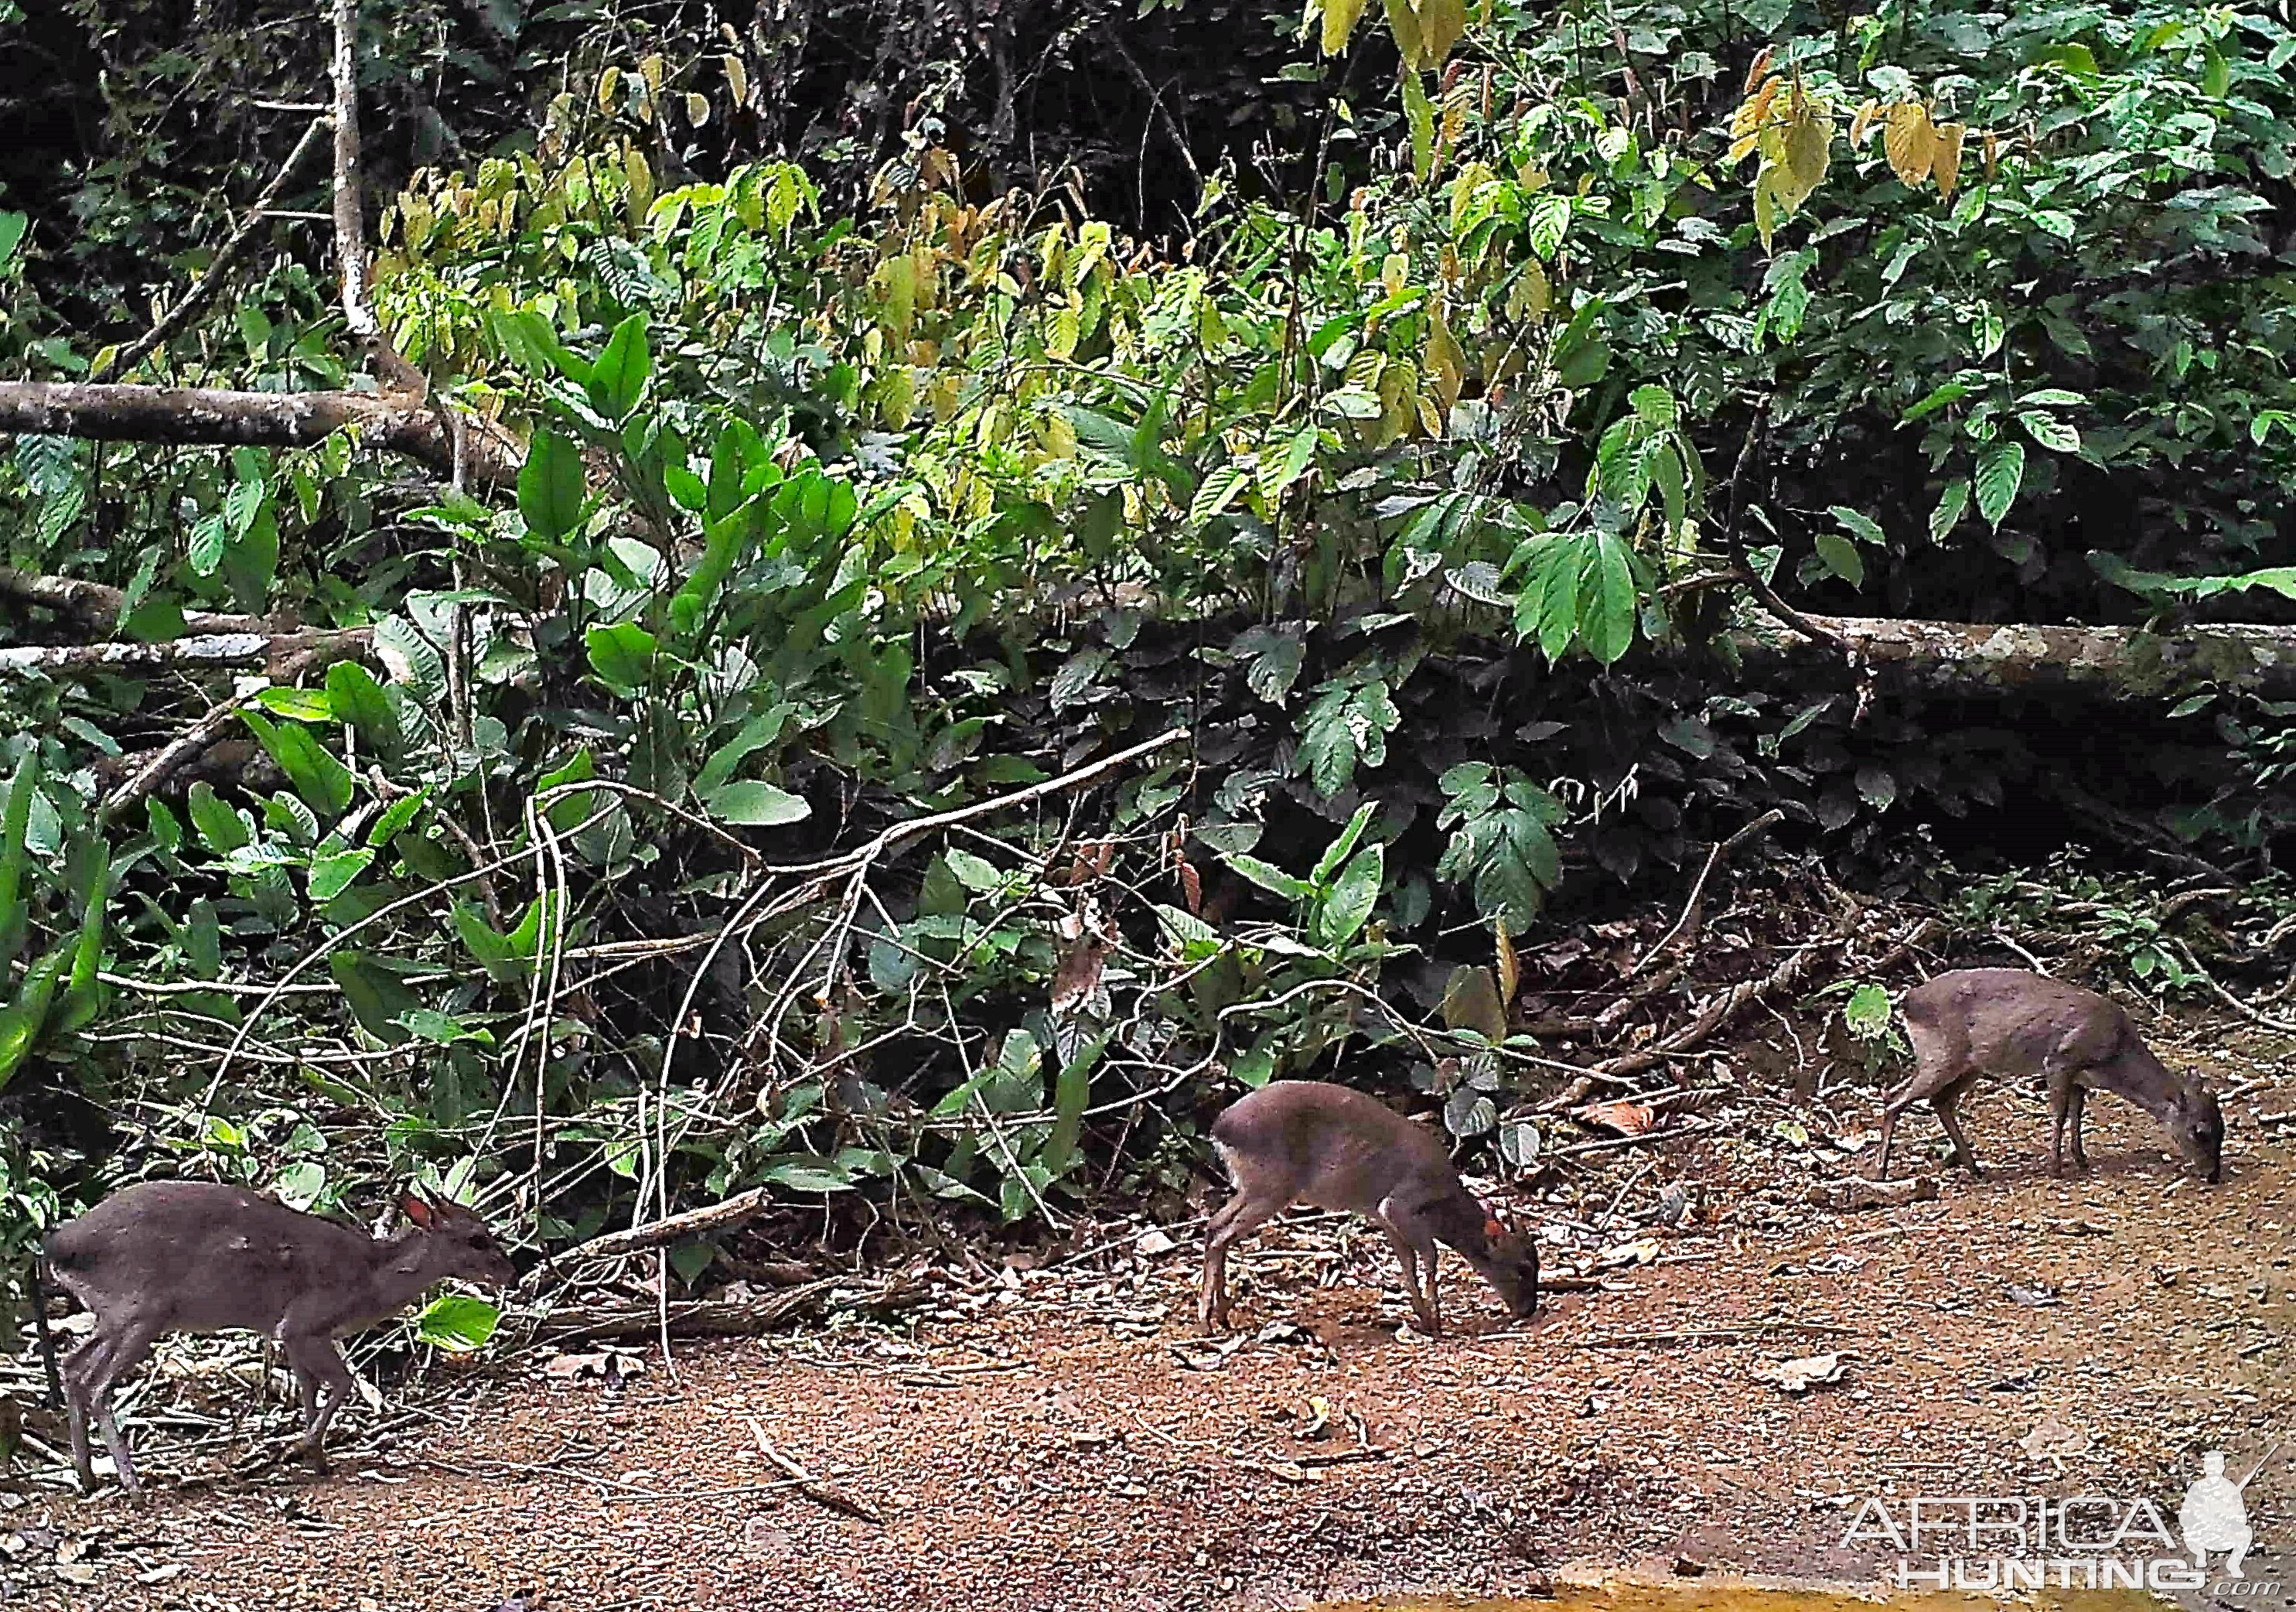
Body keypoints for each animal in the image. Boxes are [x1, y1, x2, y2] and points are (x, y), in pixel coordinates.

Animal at [38, 1175, 514, 1506]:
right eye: (477, 1238)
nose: (509, 1269)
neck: (369, 1281)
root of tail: (57, 1248)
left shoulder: (299, 1334)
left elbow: (308, 1390)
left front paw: (317, 1460)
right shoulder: (302, 1322)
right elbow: (341, 1384)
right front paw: (298, 1449)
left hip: (114, 1315)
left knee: (72, 1365)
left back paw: (87, 1477)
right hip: (141, 1311)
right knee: (97, 1383)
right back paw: (133, 1488)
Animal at [1203, 1084, 1543, 1340]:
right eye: (1523, 1268)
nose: (1528, 1310)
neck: (1442, 1203)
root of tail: (1219, 1129)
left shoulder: (1385, 1218)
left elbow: (1407, 1264)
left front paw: (1423, 1318)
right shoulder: (1399, 1204)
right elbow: (1430, 1257)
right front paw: (1437, 1323)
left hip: (1252, 1187)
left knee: (1214, 1225)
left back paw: (1221, 1315)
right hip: (1271, 1187)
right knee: (1221, 1234)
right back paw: (1208, 1319)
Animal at [1882, 973, 2222, 1184]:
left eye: (2224, 1129)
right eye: (2200, 1132)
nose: (2213, 1175)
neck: (2115, 1053)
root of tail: (1908, 1000)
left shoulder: (2081, 1077)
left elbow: (2076, 1114)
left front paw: (2081, 1160)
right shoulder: (2061, 1059)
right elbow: (2059, 1113)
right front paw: (2055, 1167)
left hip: (1971, 1065)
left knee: (1939, 1101)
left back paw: (1975, 1168)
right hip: (1942, 1055)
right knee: (1895, 1097)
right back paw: (1879, 1172)